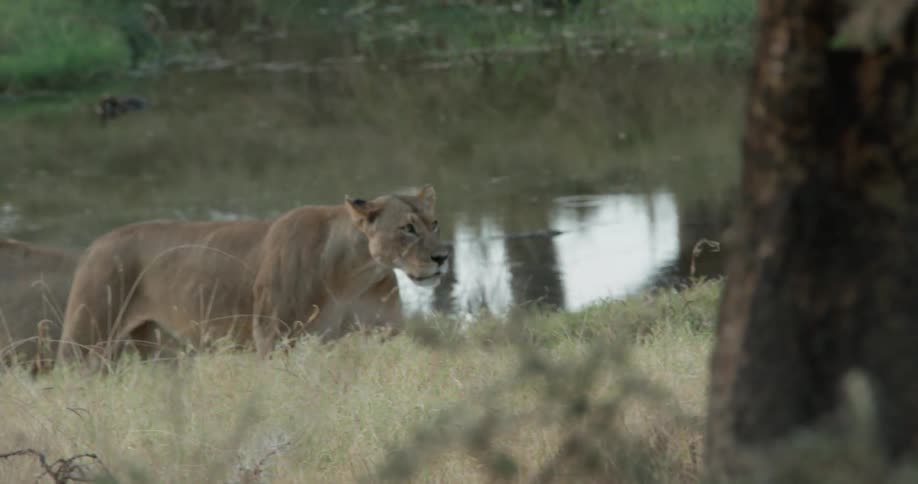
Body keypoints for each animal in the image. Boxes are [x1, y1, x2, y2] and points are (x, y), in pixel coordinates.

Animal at [57, 185, 449, 366]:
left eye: (434, 223)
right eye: (407, 229)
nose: (443, 257)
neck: (355, 272)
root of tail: (95, 244)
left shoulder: (387, 333)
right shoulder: (273, 338)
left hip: (159, 351)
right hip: (86, 342)